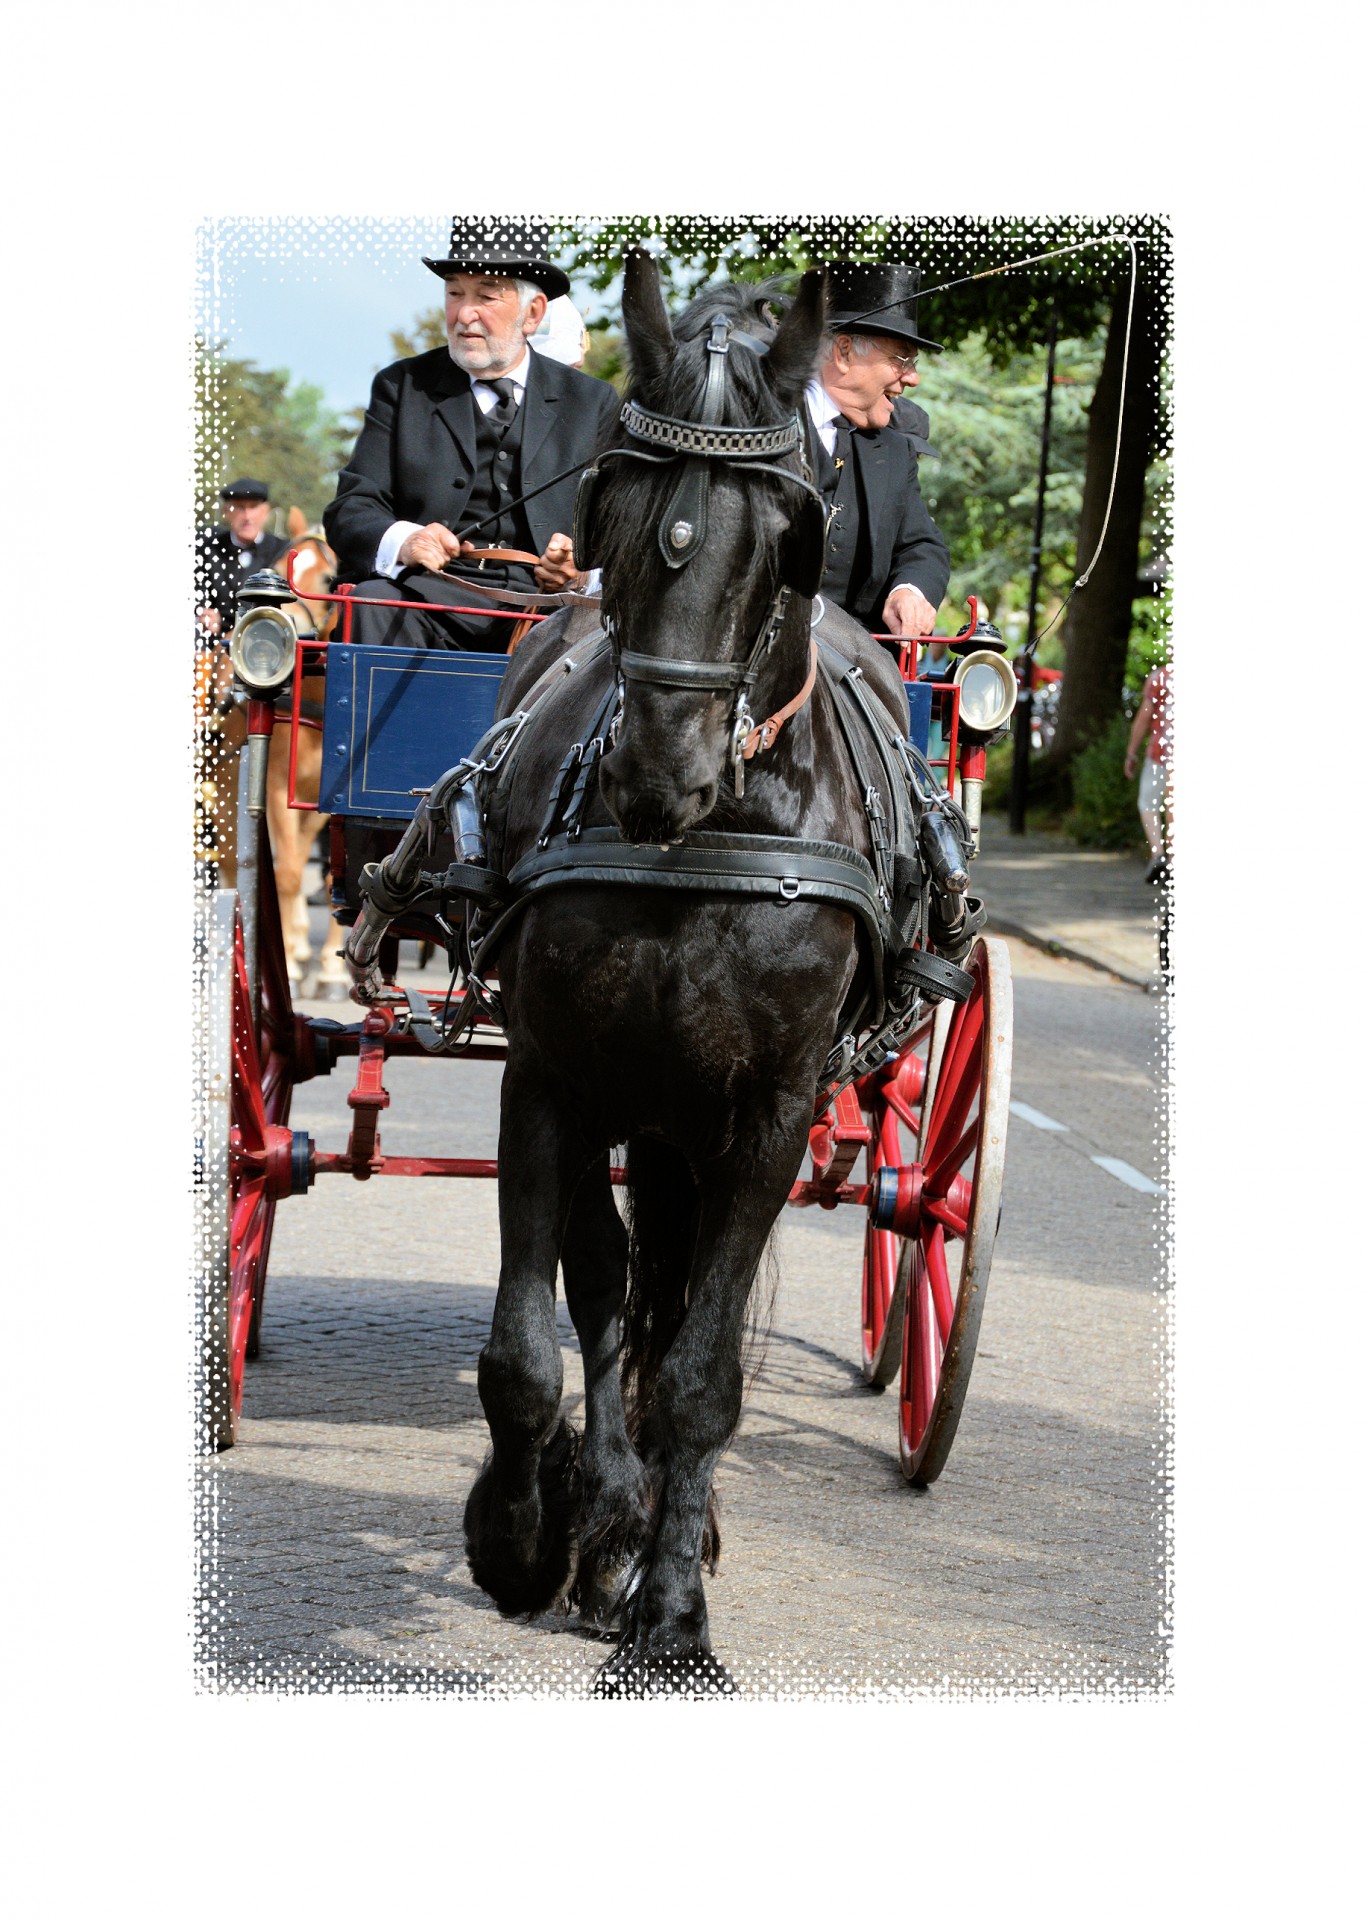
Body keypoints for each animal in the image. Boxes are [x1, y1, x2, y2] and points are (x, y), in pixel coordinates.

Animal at [459, 255, 918, 1697]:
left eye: (790, 534)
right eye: (613, 502)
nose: (662, 771)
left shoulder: (768, 1112)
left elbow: (705, 1375)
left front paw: (671, 1618)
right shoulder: (550, 1078)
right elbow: (528, 1346)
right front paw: (521, 1538)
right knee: (610, 1297)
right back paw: (599, 1518)